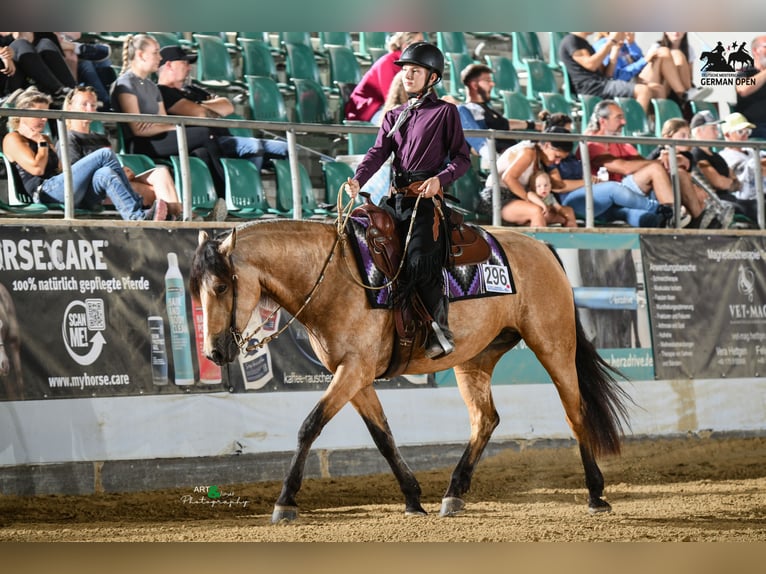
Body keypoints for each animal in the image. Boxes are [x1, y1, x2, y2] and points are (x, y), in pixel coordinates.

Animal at [189, 222, 632, 528]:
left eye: (222, 286)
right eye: (197, 291)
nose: (213, 352)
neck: (335, 279)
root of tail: (541, 247)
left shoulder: (353, 371)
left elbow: (309, 426)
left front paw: (285, 501)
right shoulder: (356, 376)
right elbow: (383, 436)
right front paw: (413, 498)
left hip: (554, 345)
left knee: (575, 413)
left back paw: (596, 494)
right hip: (476, 359)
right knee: (485, 419)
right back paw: (453, 493)